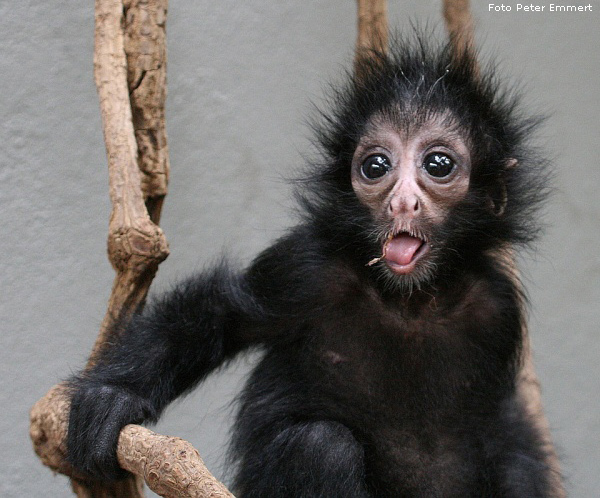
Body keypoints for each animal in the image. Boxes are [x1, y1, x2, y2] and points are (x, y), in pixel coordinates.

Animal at [65, 37, 556, 496]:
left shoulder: (496, 306)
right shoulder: (306, 267)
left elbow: (507, 437)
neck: (408, 302)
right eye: (376, 166)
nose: (402, 202)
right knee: (320, 446)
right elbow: (223, 308)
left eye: (438, 164)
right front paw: (112, 397)